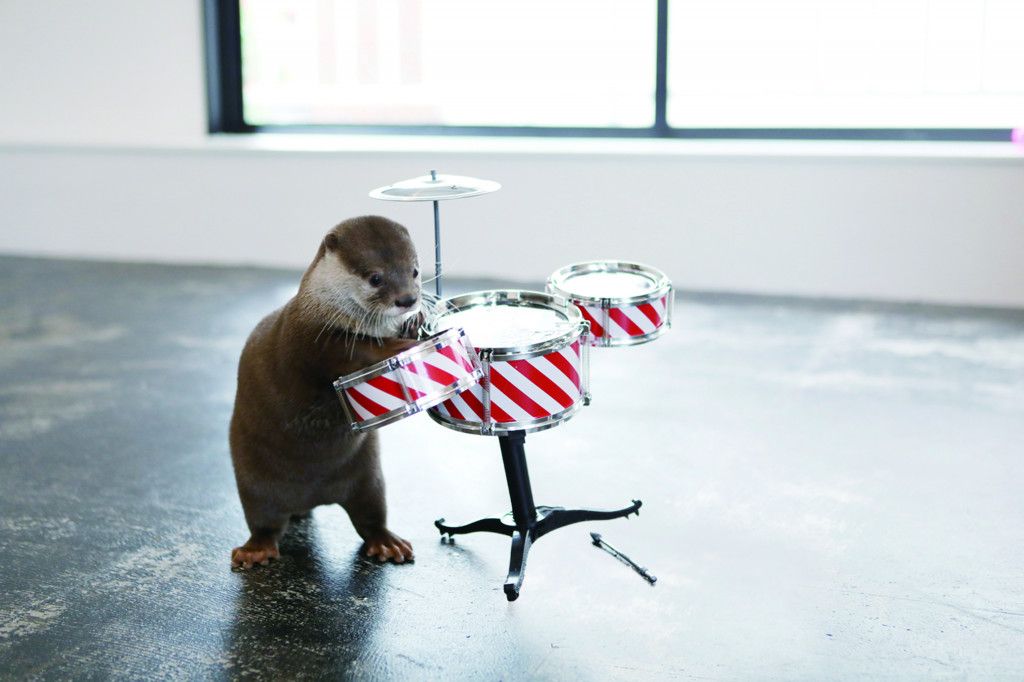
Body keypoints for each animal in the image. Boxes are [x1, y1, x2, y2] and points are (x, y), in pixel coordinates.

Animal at [229, 215, 422, 569]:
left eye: (414, 271)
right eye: (375, 277)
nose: (407, 300)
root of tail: (312, 498)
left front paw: (414, 324)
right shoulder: (310, 341)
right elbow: (354, 352)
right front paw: (397, 344)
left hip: (368, 476)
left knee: (370, 516)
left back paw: (388, 543)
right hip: (253, 480)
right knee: (265, 521)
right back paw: (255, 550)